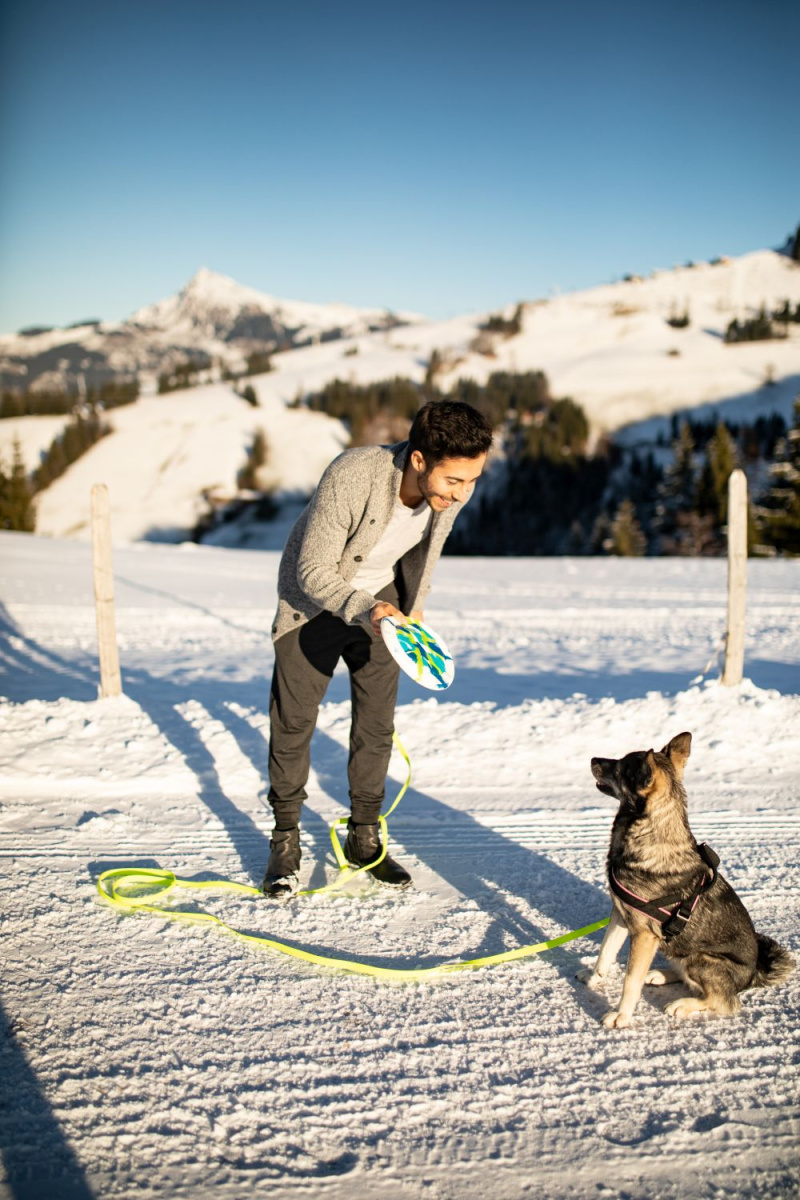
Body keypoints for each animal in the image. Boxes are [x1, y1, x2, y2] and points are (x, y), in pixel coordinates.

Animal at [575, 729, 796, 1032]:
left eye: (619, 767)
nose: (593, 759)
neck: (650, 836)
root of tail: (752, 976)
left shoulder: (643, 934)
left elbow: (630, 980)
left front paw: (622, 1015)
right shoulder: (620, 916)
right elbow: (604, 954)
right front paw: (594, 979)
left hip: (701, 960)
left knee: (723, 1001)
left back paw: (683, 1004)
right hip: (676, 949)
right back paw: (661, 975)